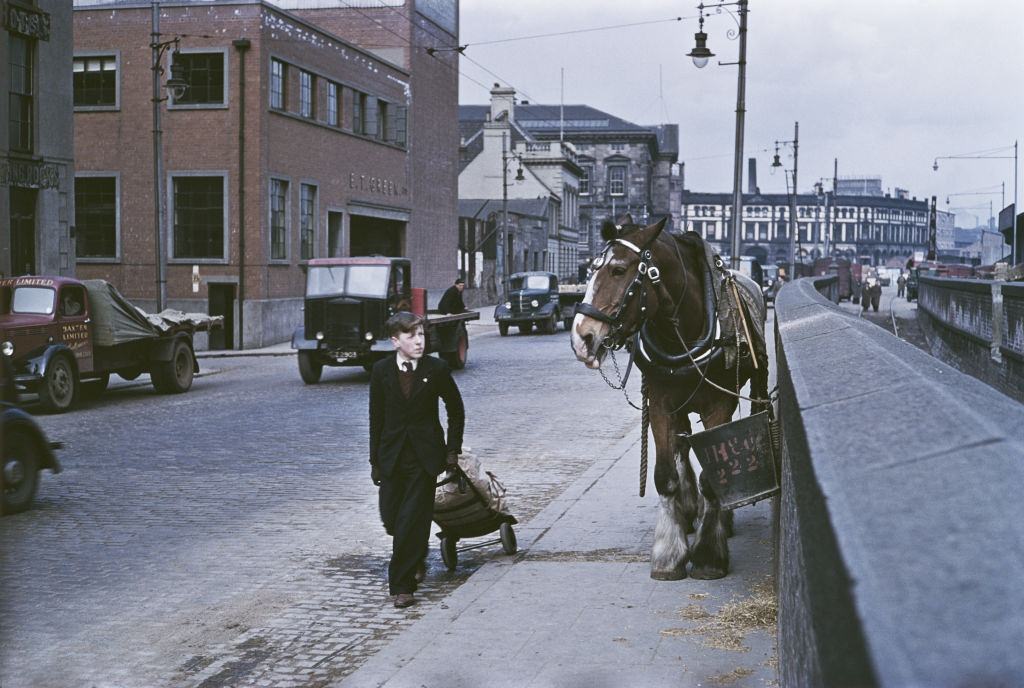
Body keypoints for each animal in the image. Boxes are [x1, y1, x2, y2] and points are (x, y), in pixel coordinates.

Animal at [569, 215, 770, 581]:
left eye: (618, 270)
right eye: (591, 269)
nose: (581, 337)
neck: (683, 332)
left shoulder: (719, 406)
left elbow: (712, 476)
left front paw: (708, 554)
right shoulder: (661, 404)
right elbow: (664, 476)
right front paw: (669, 552)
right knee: (682, 444)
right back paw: (688, 510)